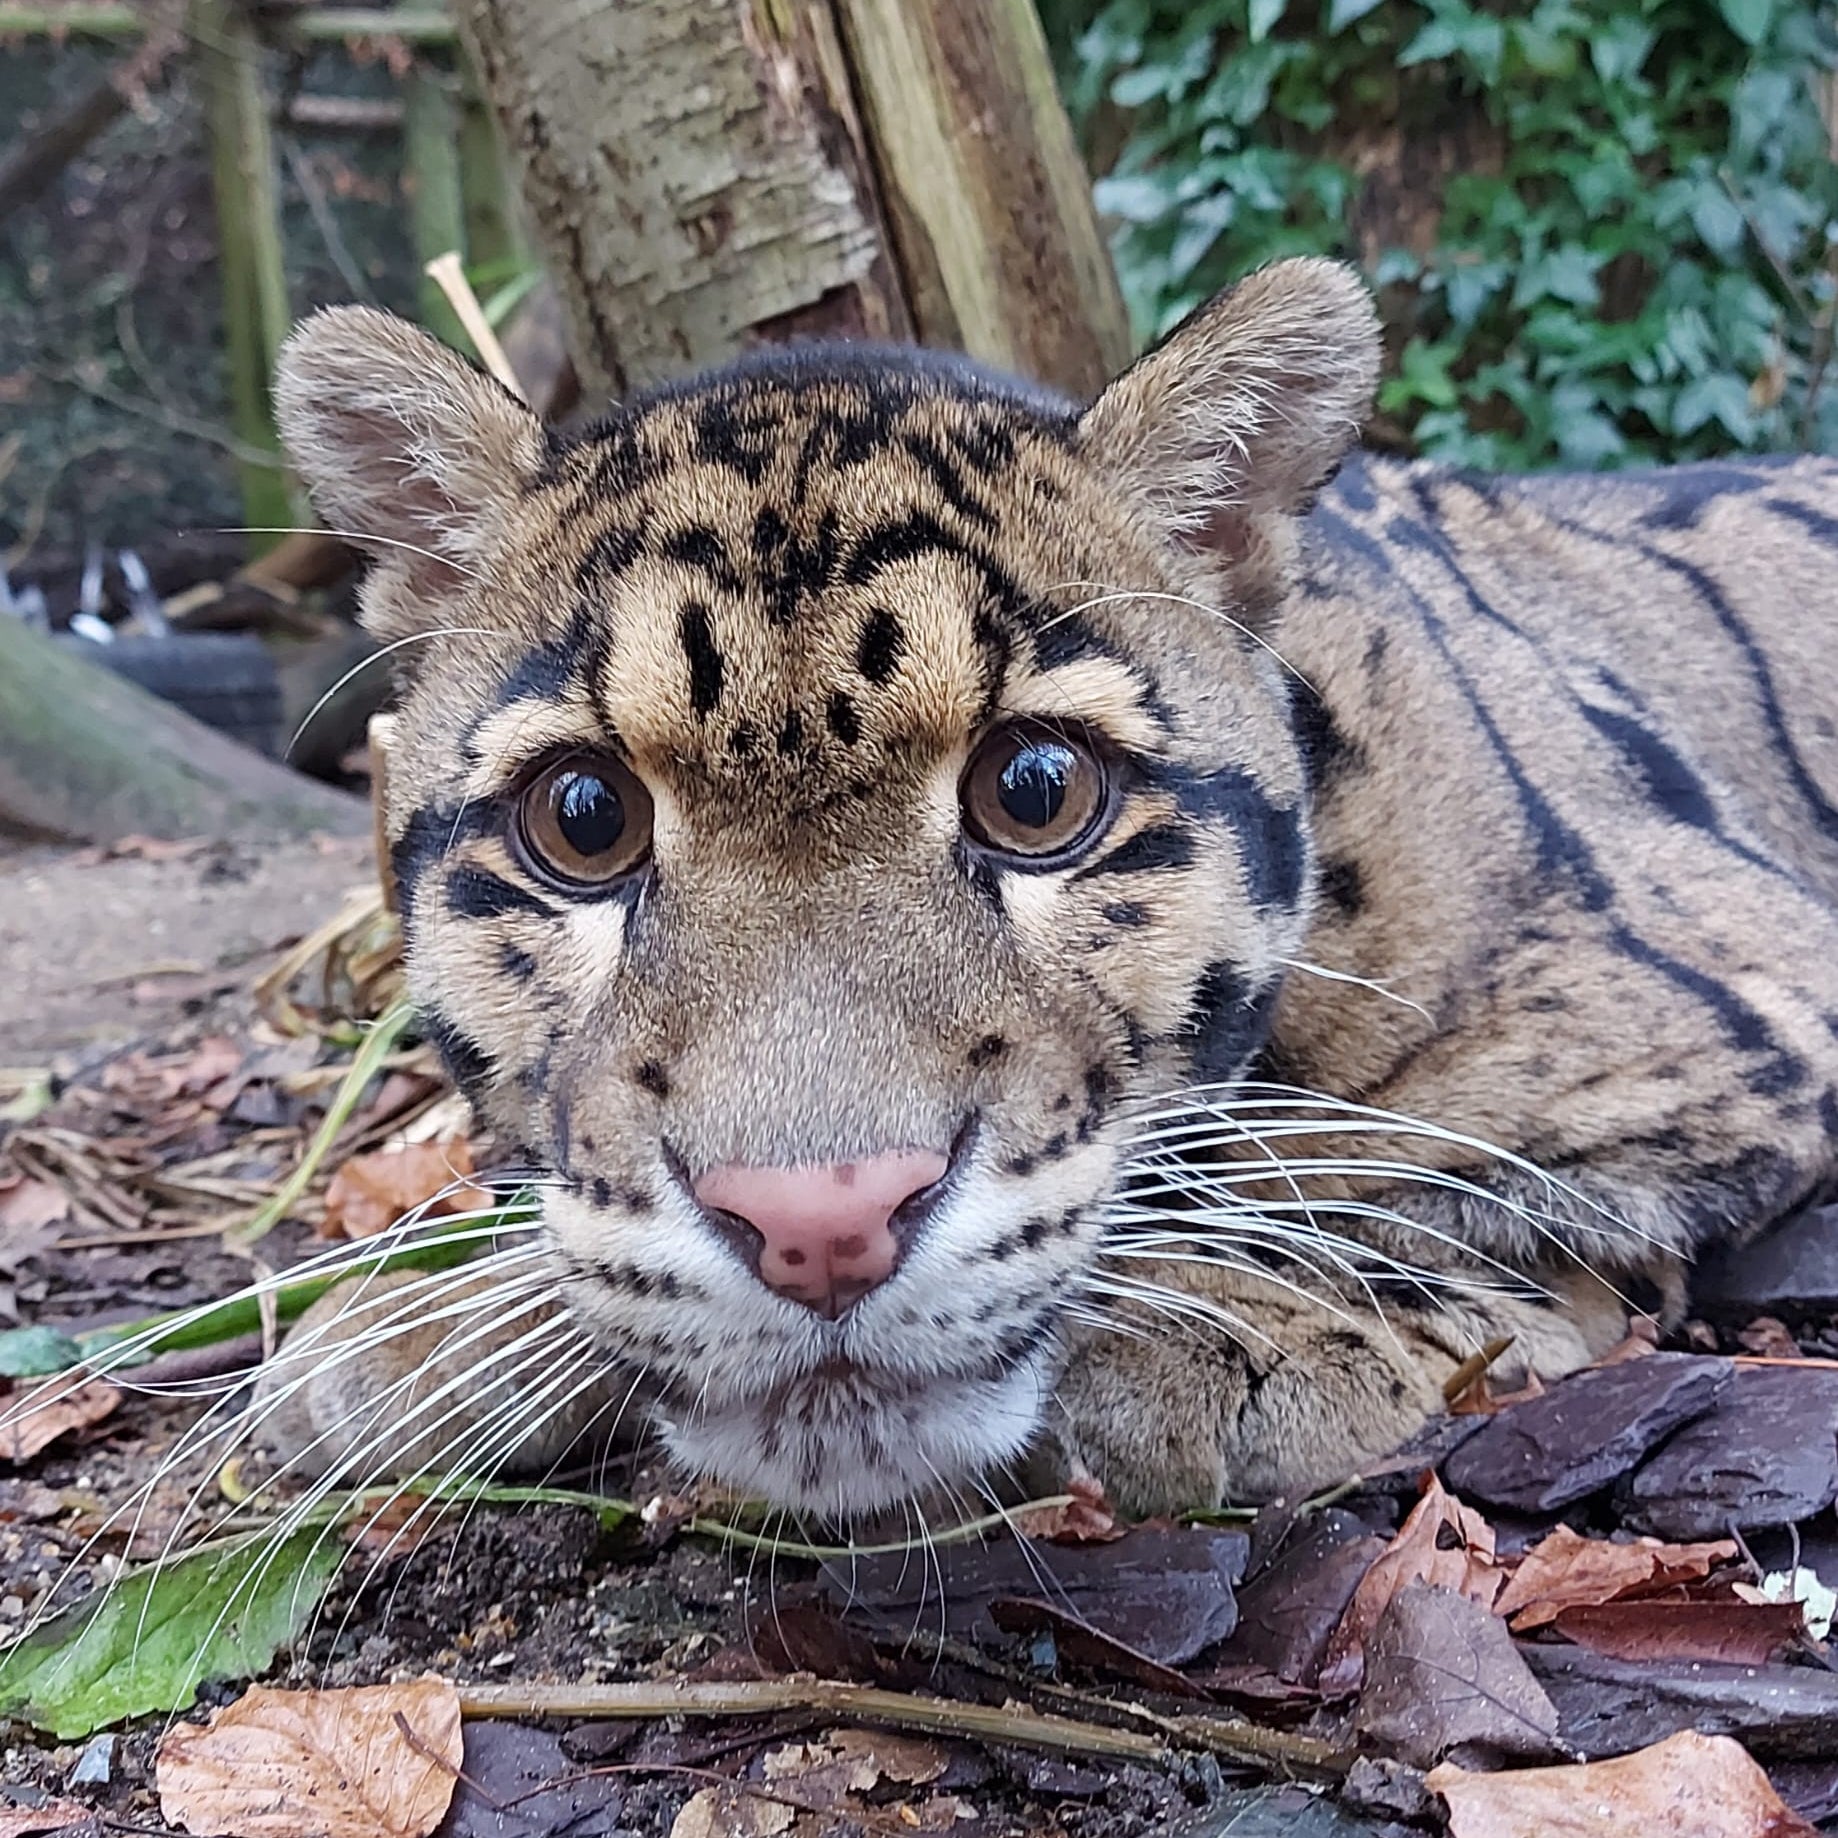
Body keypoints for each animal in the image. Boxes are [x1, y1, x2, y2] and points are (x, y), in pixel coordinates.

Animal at [259, 256, 1838, 1523]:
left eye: (1035, 792)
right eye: (581, 819)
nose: (821, 1222)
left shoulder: (1709, 1017)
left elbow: (1401, 1178)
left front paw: (1230, 1330)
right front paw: (418, 1332)